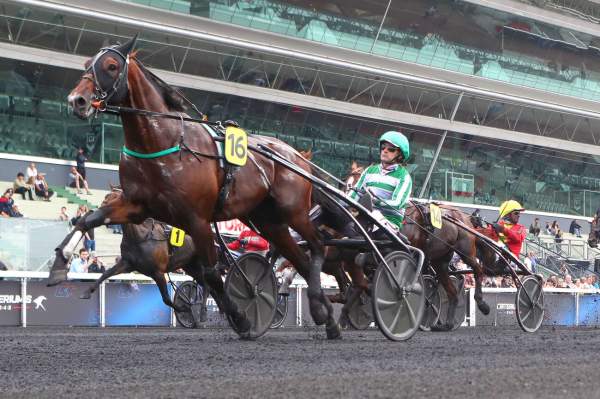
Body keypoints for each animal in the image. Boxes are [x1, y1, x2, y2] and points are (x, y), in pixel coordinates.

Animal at [50, 36, 338, 340]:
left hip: (294, 212)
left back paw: (320, 309)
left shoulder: (197, 219)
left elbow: (212, 275)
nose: (77, 100)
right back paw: (326, 316)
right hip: (269, 222)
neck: (163, 142)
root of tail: (297, 156)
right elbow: (87, 219)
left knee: (317, 246)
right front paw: (59, 266)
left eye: (111, 66)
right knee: (300, 259)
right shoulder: (137, 206)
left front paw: (241, 318)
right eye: (86, 63)